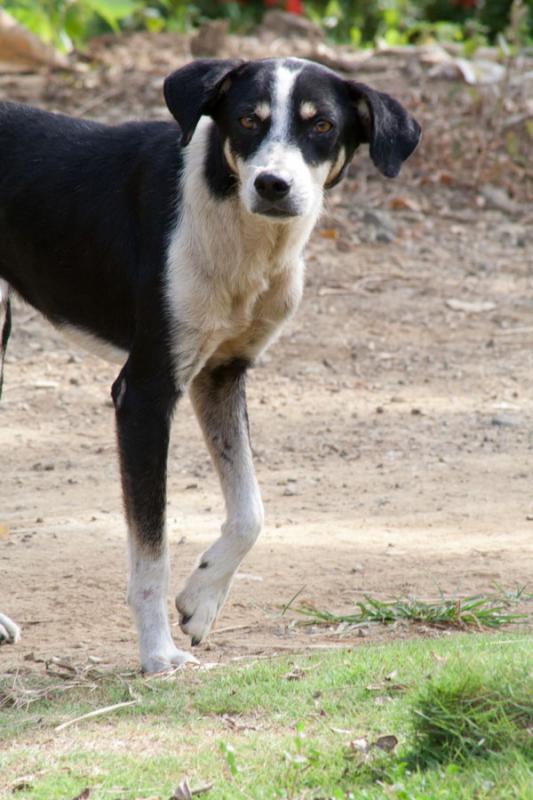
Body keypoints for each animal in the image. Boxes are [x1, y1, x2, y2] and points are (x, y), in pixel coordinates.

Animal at [0, 54, 420, 668]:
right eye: (247, 120)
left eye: (321, 126)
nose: (272, 184)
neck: (237, 225)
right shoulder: (145, 393)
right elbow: (150, 552)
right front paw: (158, 654)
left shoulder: (221, 376)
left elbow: (251, 513)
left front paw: (201, 601)